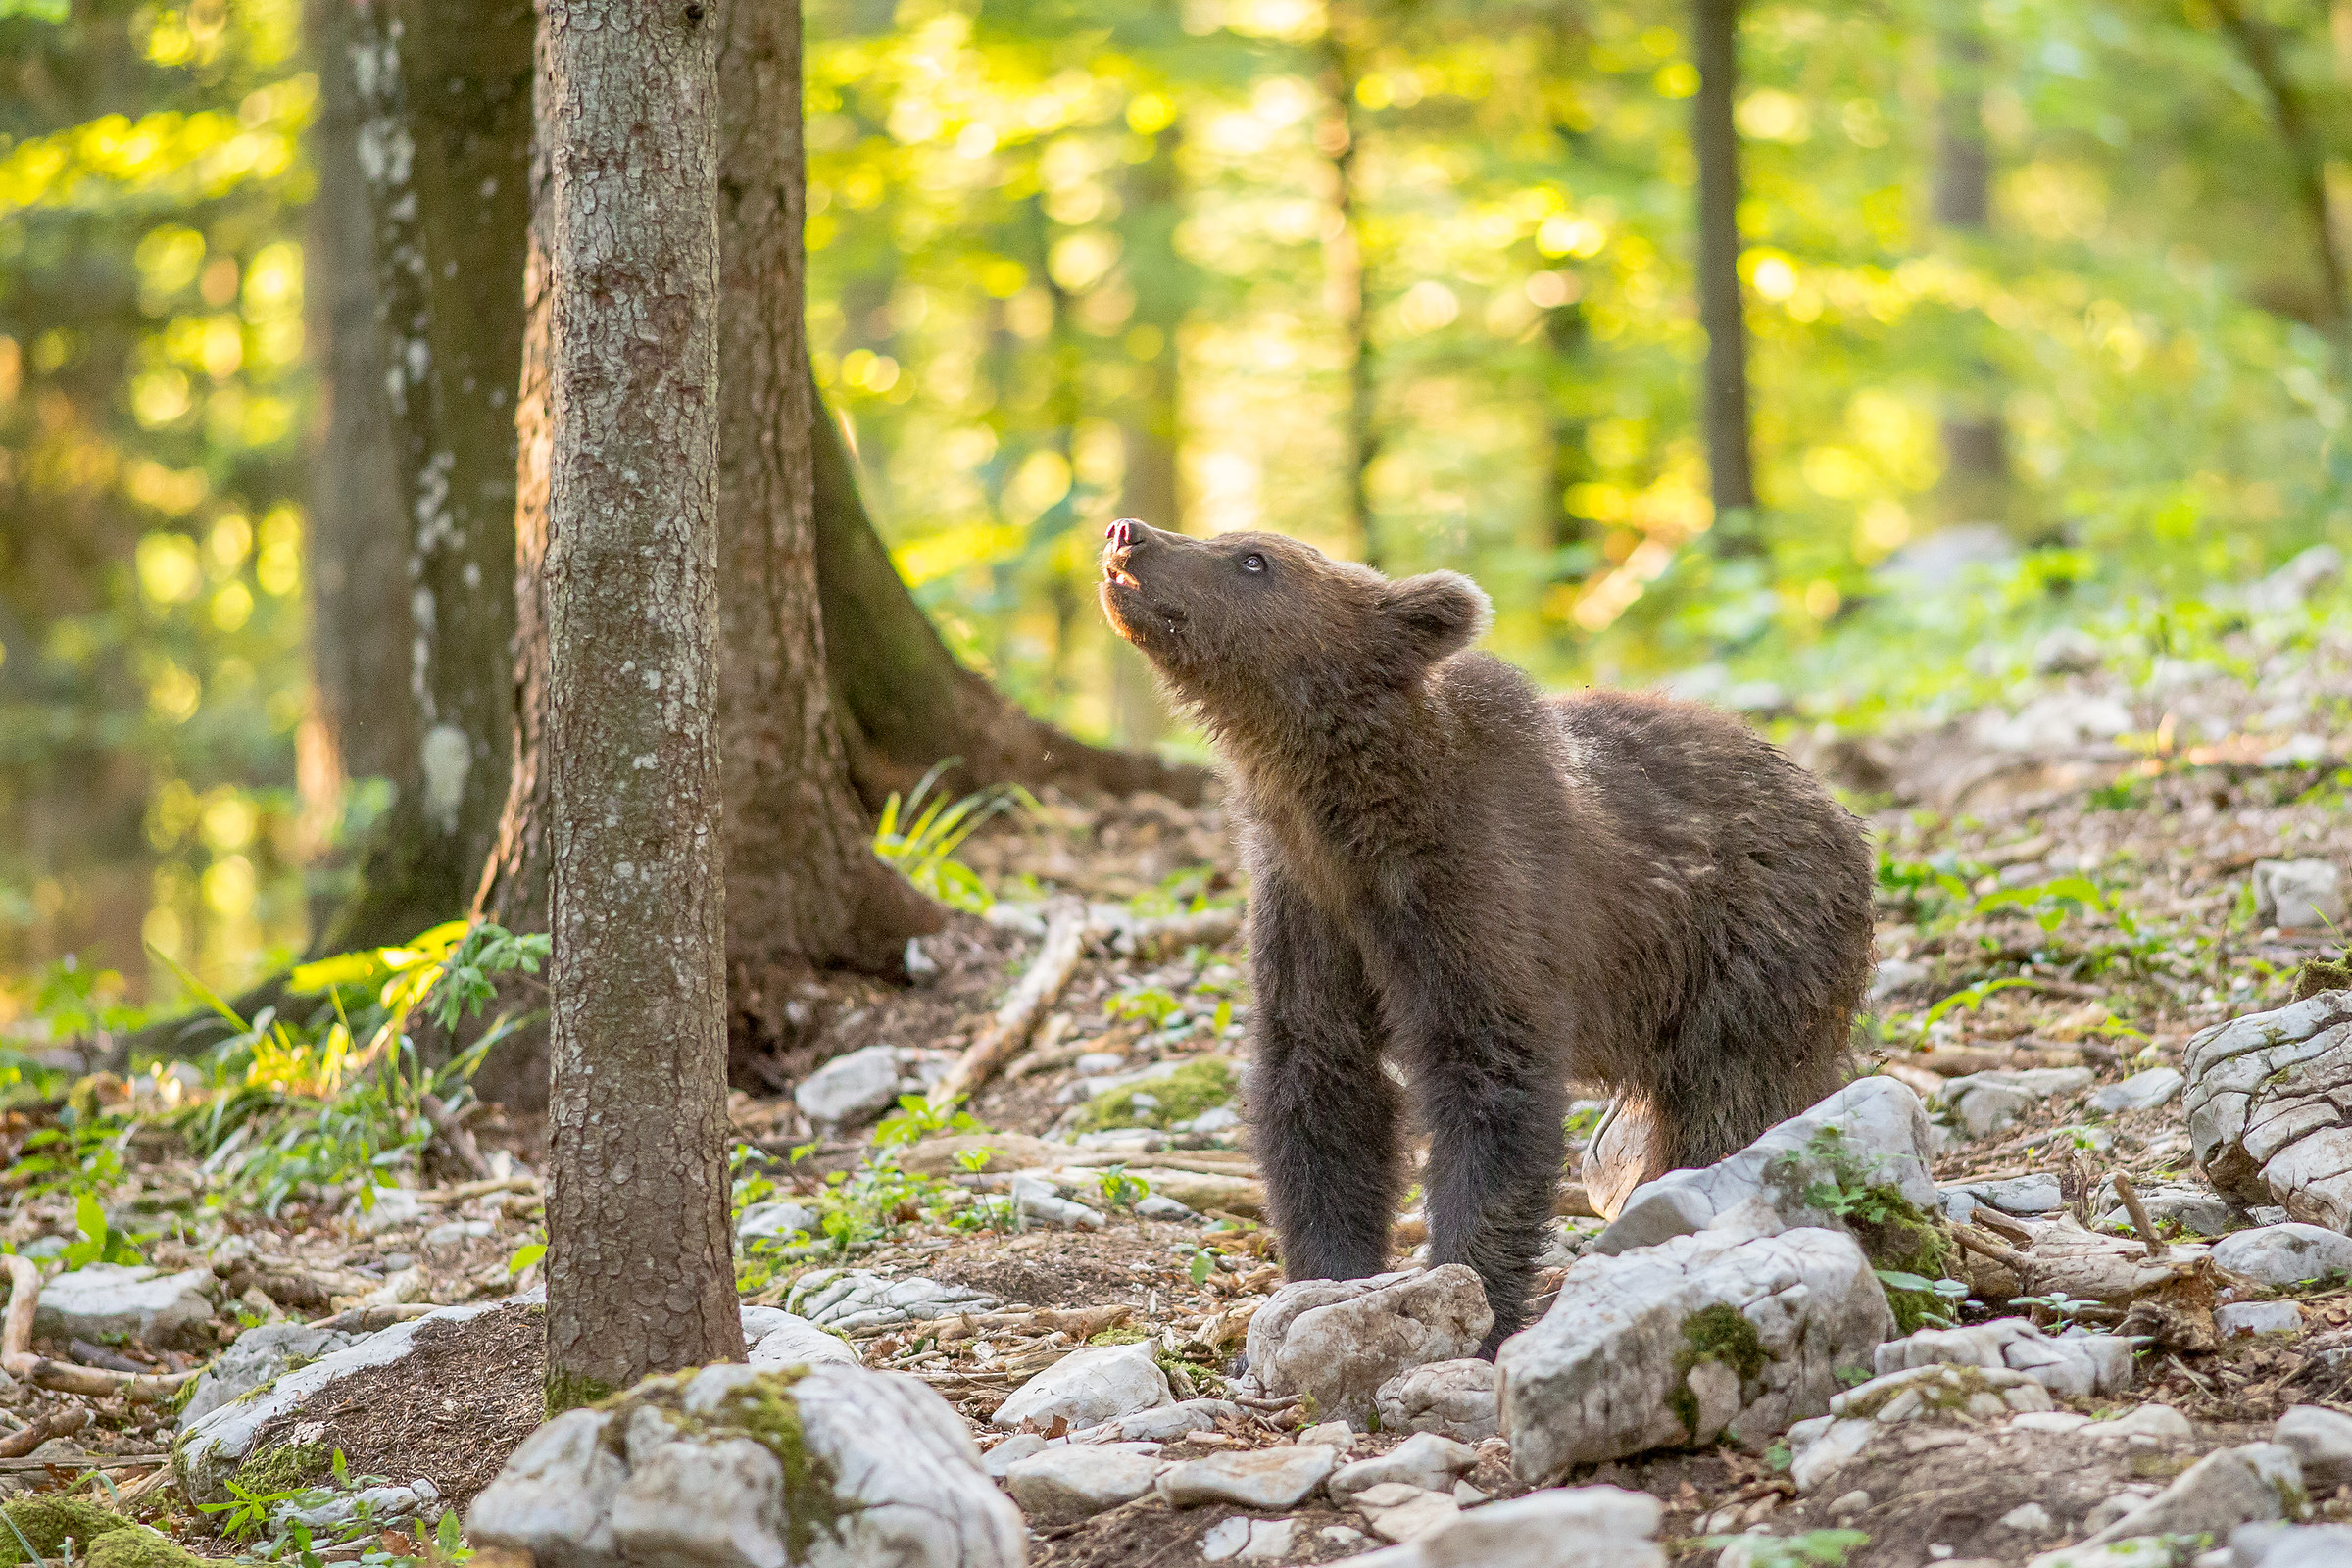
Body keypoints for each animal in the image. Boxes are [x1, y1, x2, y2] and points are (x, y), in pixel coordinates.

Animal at [1097, 517, 1874, 1351]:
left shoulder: (1479, 892)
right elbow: (1319, 1082)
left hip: (1748, 956)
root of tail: (1840, 812)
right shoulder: (1309, 910)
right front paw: (1325, 1280)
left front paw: (1474, 1299)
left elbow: (1492, 1081)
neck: (1346, 818)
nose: (1128, 531)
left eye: (1253, 559)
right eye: (1232, 538)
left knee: (1734, 1102)